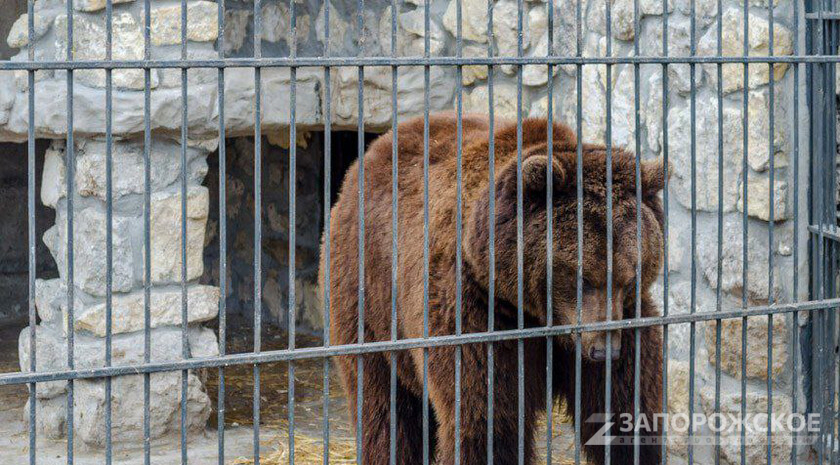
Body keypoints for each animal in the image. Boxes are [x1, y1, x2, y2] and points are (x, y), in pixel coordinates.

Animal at [322, 110, 664, 462]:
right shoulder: (477, 311)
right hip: (368, 297)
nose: (603, 351)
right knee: (386, 408)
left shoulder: (625, 322)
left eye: (630, 275)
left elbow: (624, 406)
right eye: (581, 276)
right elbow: (488, 414)